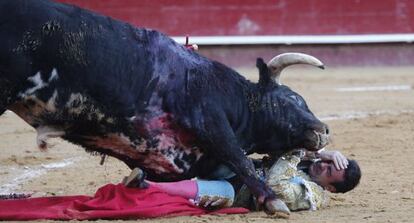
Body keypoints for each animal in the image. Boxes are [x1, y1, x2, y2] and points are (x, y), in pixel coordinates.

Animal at [0, 0, 330, 213]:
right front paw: (274, 201)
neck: (234, 98)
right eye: (292, 99)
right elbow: (241, 159)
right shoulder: (210, 121)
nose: (324, 130)